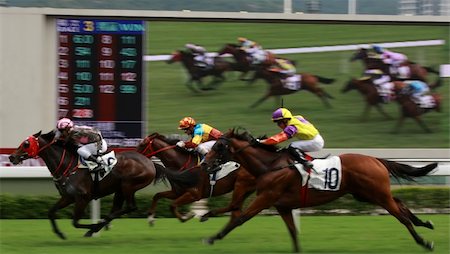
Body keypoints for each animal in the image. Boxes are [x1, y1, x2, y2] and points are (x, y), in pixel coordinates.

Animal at [9, 130, 197, 239]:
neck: (68, 165)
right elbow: (51, 212)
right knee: (117, 210)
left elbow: (75, 222)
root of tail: (150, 162)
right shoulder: (68, 197)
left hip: (128, 186)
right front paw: (60, 233)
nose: (12, 157)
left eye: (26, 143)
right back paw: (101, 225)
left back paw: (97, 226)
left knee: (130, 208)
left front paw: (91, 227)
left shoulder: (82, 198)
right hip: (120, 190)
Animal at [200, 129, 436, 252]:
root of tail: (375, 159)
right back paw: (425, 223)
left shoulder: (266, 197)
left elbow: (239, 218)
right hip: (366, 194)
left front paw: (212, 238)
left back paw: (424, 241)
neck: (270, 165)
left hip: (377, 194)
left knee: (400, 216)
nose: (204, 164)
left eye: (218, 147)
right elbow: (293, 232)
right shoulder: (283, 206)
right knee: (401, 204)